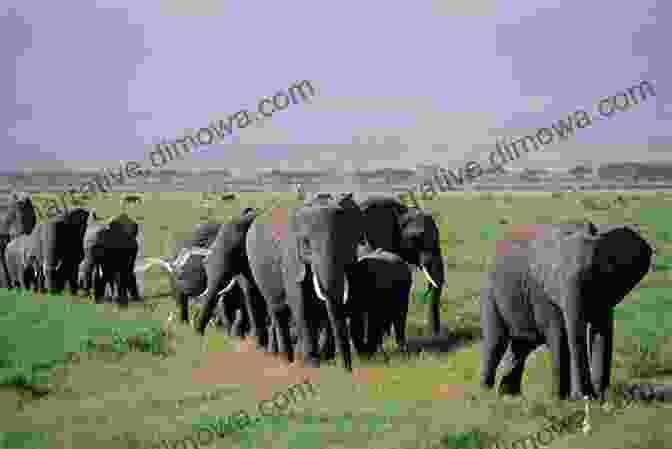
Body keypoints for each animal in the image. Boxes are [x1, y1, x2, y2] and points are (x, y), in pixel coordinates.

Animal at [245, 196, 364, 372]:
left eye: (346, 240)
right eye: (306, 243)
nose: (347, 370)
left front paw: (325, 360)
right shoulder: (291, 259)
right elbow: (301, 305)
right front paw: (313, 365)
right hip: (258, 268)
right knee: (278, 311)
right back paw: (286, 361)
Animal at [480, 223, 652, 400]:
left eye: (596, 273)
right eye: (557, 275)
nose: (584, 395)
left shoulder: (608, 288)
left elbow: (602, 332)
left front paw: (601, 398)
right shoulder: (544, 292)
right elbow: (559, 335)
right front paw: (562, 399)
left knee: (522, 346)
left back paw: (509, 395)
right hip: (490, 293)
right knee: (496, 342)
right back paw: (485, 393)